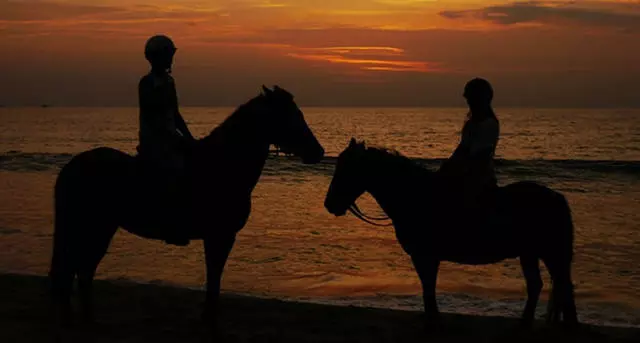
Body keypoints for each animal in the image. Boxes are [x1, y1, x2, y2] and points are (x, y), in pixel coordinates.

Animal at [49, 86, 324, 328]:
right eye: (291, 116)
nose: (319, 152)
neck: (223, 166)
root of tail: (71, 168)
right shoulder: (220, 235)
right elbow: (214, 276)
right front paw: (210, 321)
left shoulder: (219, 236)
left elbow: (214, 275)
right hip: (93, 228)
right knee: (74, 271)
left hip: (99, 229)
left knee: (82, 272)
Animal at [322, 140, 576, 330]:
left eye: (346, 169)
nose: (329, 204)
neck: (416, 197)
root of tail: (556, 197)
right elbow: (428, 287)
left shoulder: (425, 256)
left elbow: (428, 288)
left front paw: (432, 321)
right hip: (529, 253)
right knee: (537, 285)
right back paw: (525, 323)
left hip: (552, 254)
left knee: (562, 286)